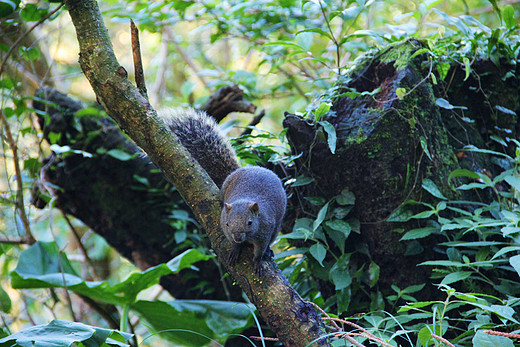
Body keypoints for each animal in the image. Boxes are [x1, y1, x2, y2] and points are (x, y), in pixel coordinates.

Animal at [159, 107, 288, 276]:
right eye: (227, 223)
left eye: (250, 222)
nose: (238, 237)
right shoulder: (225, 227)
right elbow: (232, 242)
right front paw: (235, 249)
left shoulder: (265, 230)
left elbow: (260, 249)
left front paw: (258, 261)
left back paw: (268, 252)